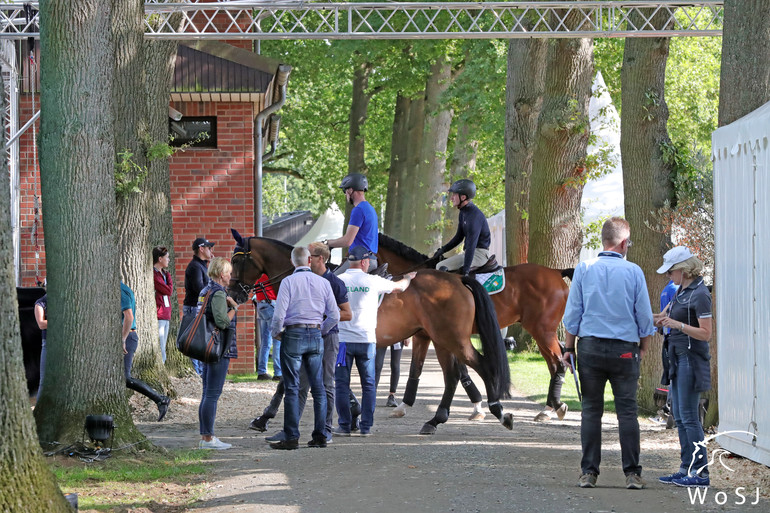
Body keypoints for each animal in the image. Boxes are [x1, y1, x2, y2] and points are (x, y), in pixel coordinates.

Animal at [225, 230, 512, 434]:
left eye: (237, 260)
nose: (233, 294)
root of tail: (457, 278)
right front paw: (354, 412)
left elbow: (285, 382)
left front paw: (263, 417)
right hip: (440, 339)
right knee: (452, 375)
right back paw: (435, 420)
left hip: (452, 338)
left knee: (482, 365)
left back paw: (498, 411)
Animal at [374, 234, 568, 422]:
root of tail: (556, 272)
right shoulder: (426, 335)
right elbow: (417, 369)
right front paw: (403, 406)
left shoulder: (446, 337)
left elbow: (460, 372)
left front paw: (477, 407)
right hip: (541, 333)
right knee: (553, 365)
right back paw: (549, 408)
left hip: (542, 331)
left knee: (559, 364)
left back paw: (551, 408)